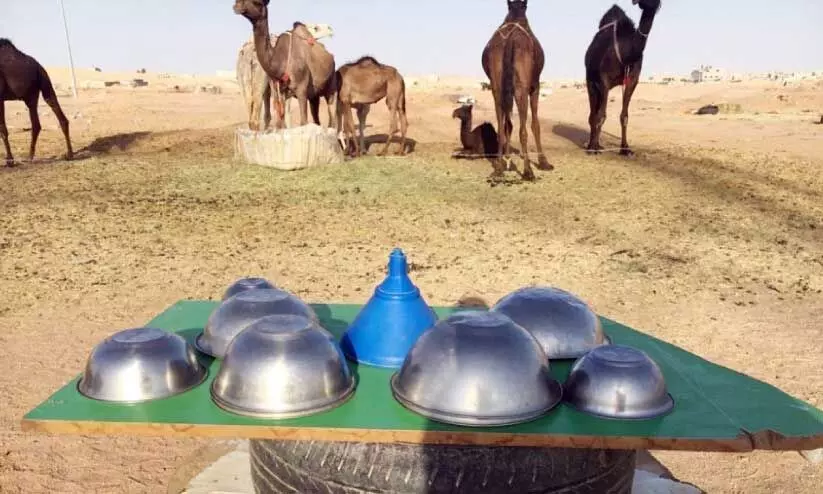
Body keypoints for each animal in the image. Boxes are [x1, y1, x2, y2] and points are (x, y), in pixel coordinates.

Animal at [233, 0, 337, 130]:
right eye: (316, 28)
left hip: (330, 87)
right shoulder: (281, 91)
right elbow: (282, 122)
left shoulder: (301, 90)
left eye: (258, 3)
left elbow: (300, 121)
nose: (236, 5)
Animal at [481, 0, 552, 181]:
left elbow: (508, 123)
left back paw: (499, 168)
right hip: (522, 87)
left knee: (501, 126)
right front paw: (544, 162)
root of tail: (509, 41)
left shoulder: (506, 88)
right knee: (523, 129)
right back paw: (528, 171)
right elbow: (535, 124)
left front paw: (507, 160)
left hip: (496, 85)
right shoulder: (535, 85)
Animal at [584, 0, 662, 155]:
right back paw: (592, 145)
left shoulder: (632, 80)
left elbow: (624, 116)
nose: (653, 5)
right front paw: (593, 148)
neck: (627, 53)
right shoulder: (604, 80)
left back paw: (599, 145)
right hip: (590, 80)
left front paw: (625, 148)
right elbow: (601, 115)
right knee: (593, 114)